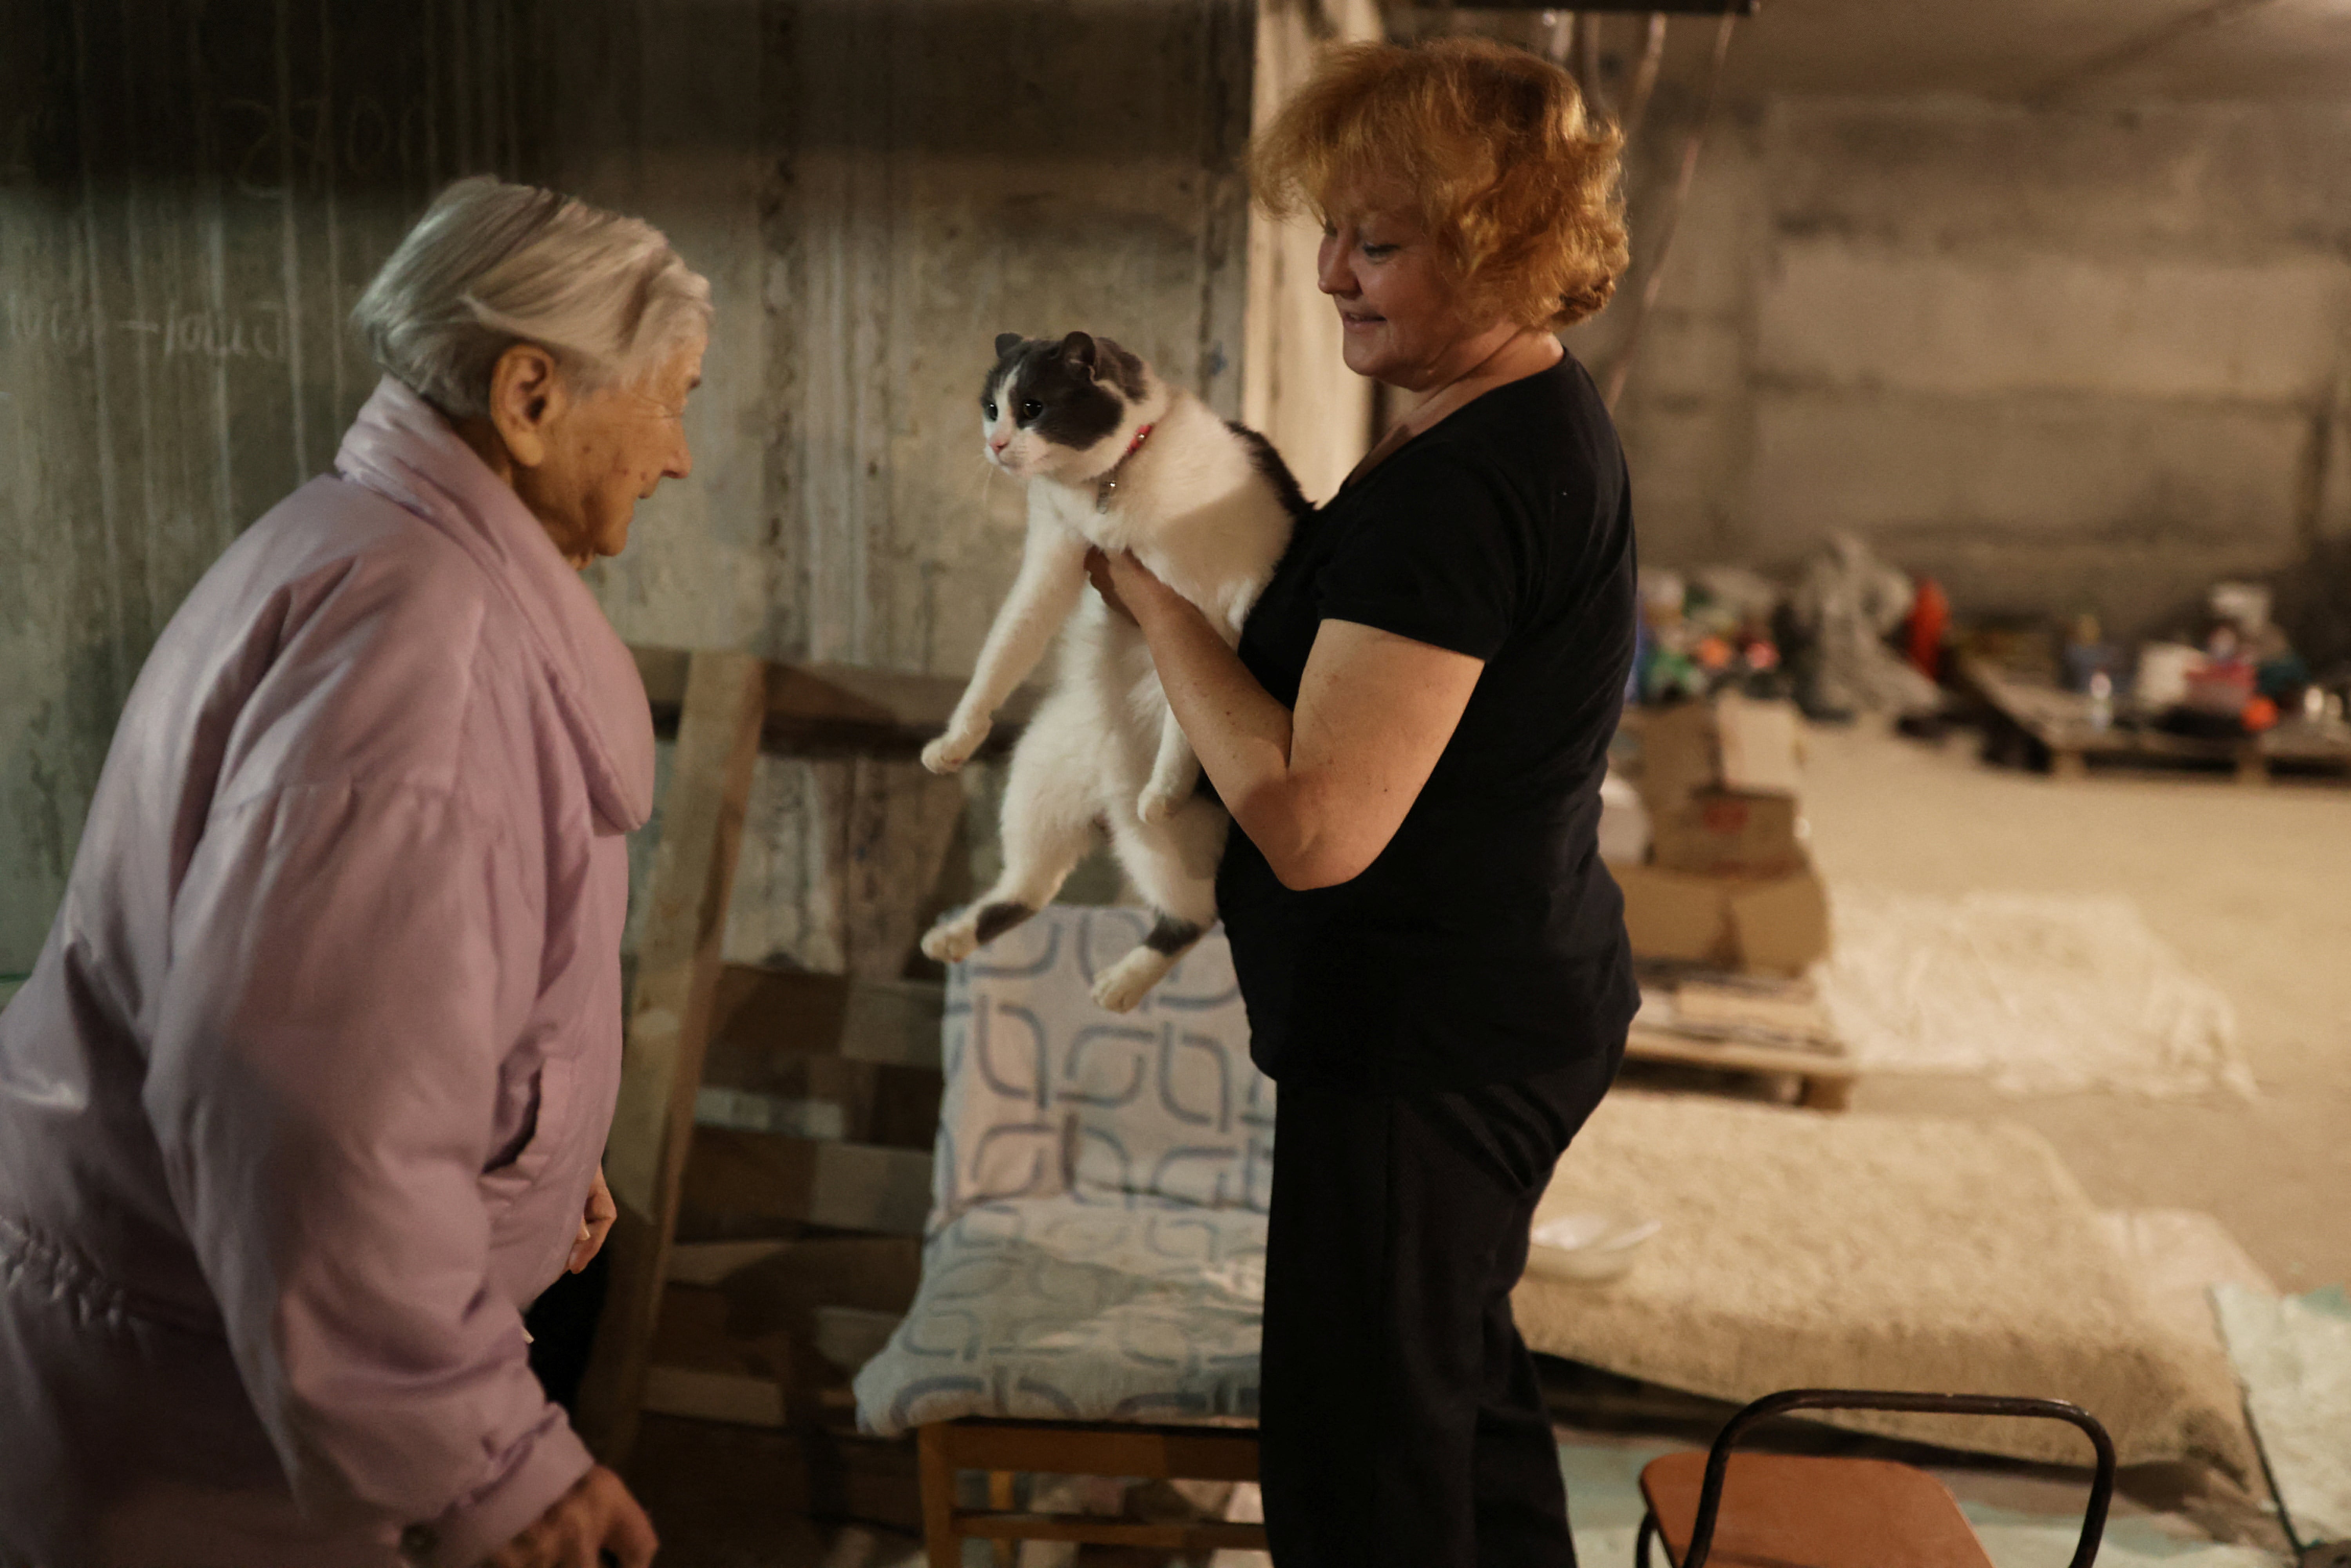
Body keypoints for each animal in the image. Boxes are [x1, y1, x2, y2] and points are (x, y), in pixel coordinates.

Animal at [917, 334, 1317, 1011]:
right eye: (991, 407)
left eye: (1033, 407)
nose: (996, 444)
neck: (1106, 484)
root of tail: (1099, 803)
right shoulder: (1052, 558)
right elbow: (1004, 647)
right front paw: (956, 740)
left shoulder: (1213, 603)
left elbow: (1190, 710)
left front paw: (1167, 787)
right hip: (1036, 781)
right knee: (1030, 887)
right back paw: (954, 936)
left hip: (1165, 847)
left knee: (1195, 917)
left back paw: (1123, 981)